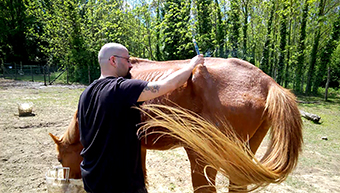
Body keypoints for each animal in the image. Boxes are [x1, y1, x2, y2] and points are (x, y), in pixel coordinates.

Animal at [49, 57, 302, 191]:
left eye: (60, 159)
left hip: (204, 156)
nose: (66, 184)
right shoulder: (139, 147)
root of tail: (267, 82)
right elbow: (143, 175)